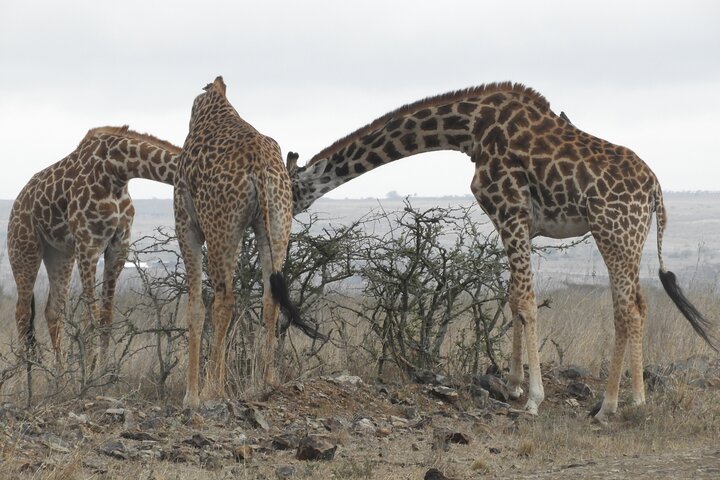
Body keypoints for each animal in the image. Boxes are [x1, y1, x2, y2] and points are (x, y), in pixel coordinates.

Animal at [8, 126, 180, 400]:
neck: (118, 171)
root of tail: (17, 202)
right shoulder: (88, 244)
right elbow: (92, 315)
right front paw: (89, 376)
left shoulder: (118, 247)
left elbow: (106, 316)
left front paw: (105, 375)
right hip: (24, 249)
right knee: (22, 312)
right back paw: (26, 385)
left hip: (59, 255)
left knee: (52, 310)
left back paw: (60, 379)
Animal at [175, 76, 322, 408]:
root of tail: (259, 163)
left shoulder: (186, 224)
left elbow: (195, 308)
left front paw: (191, 396)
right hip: (277, 223)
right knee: (271, 296)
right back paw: (266, 382)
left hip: (221, 227)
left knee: (224, 299)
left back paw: (213, 390)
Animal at [288, 82, 717, 422]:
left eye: (294, 187)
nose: (286, 211)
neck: (469, 130)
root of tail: (656, 189)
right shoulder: (512, 221)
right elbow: (513, 298)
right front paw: (512, 385)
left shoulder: (511, 211)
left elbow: (526, 301)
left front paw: (534, 399)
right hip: (627, 236)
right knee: (633, 305)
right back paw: (624, 400)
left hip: (614, 231)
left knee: (629, 309)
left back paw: (616, 405)